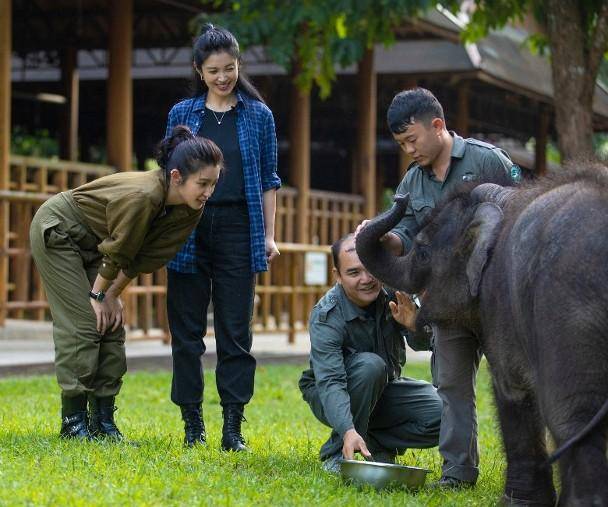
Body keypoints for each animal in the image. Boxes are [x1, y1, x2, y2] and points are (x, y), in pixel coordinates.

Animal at [356, 167, 608, 507]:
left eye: (422, 251)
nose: (400, 195)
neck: (504, 196)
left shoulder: (500, 304)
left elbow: (512, 388)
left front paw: (517, 502)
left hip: (567, 305)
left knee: (571, 416)